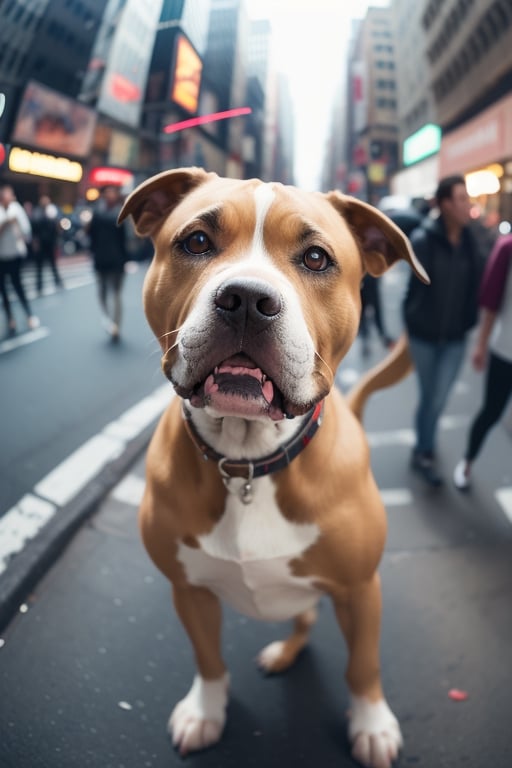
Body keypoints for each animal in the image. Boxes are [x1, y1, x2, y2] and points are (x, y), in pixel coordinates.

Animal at [120, 168, 428, 768]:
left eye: (315, 258)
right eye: (197, 241)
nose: (245, 298)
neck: (248, 461)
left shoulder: (361, 589)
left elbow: (363, 665)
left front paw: (372, 723)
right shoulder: (188, 590)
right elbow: (208, 660)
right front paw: (206, 713)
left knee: (308, 619)